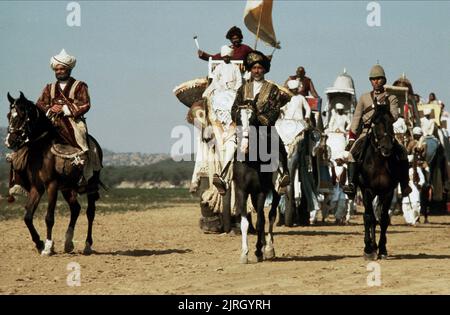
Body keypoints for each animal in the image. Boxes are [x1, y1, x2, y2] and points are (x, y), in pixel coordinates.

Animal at [4, 92, 103, 256]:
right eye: (8, 115)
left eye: (22, 115)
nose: (9, 141)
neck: (42, 151)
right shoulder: (37, 187)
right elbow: (28, 217)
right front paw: (39, 243)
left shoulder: (51, 185)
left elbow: (49, 217)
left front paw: (48, 247)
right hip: (67, 188)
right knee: (75, 209)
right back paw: (68, 243)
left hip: (90, 185)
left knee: (90, 212)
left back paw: (87, 245)